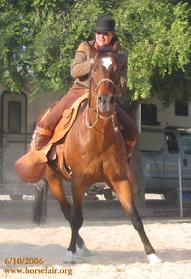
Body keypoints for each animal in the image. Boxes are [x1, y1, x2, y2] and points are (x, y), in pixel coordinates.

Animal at [44, 46, 160, 264]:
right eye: (94, 68)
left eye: (116, 68)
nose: (105, 101)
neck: (98, 138)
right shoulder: (78, 182)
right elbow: (76, 219)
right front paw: (70, 253)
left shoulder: (120, 180)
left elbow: (136, 218)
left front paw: (151, 253)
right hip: (54, 179)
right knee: (66, 211)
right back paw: (79, 246)